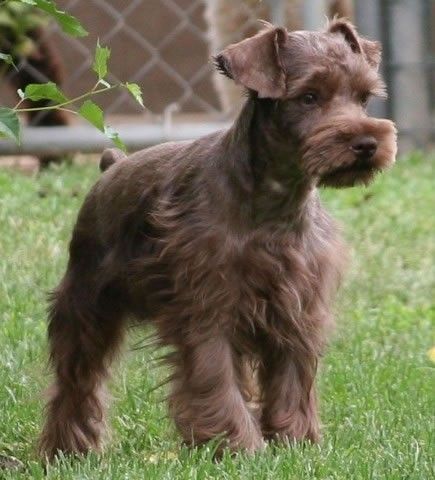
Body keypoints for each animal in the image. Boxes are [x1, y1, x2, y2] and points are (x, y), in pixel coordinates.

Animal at [39, 20, 396, 460]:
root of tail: (112, 166)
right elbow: (215, 376)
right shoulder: (207, 308)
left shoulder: (297, 310)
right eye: (309, 96)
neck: (275, 202)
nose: (367, 143)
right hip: (87, 304)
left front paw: (294, 443)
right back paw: (68, 449)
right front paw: (238, 446)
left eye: (364, 97)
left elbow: (292, 379)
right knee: (77, 382)